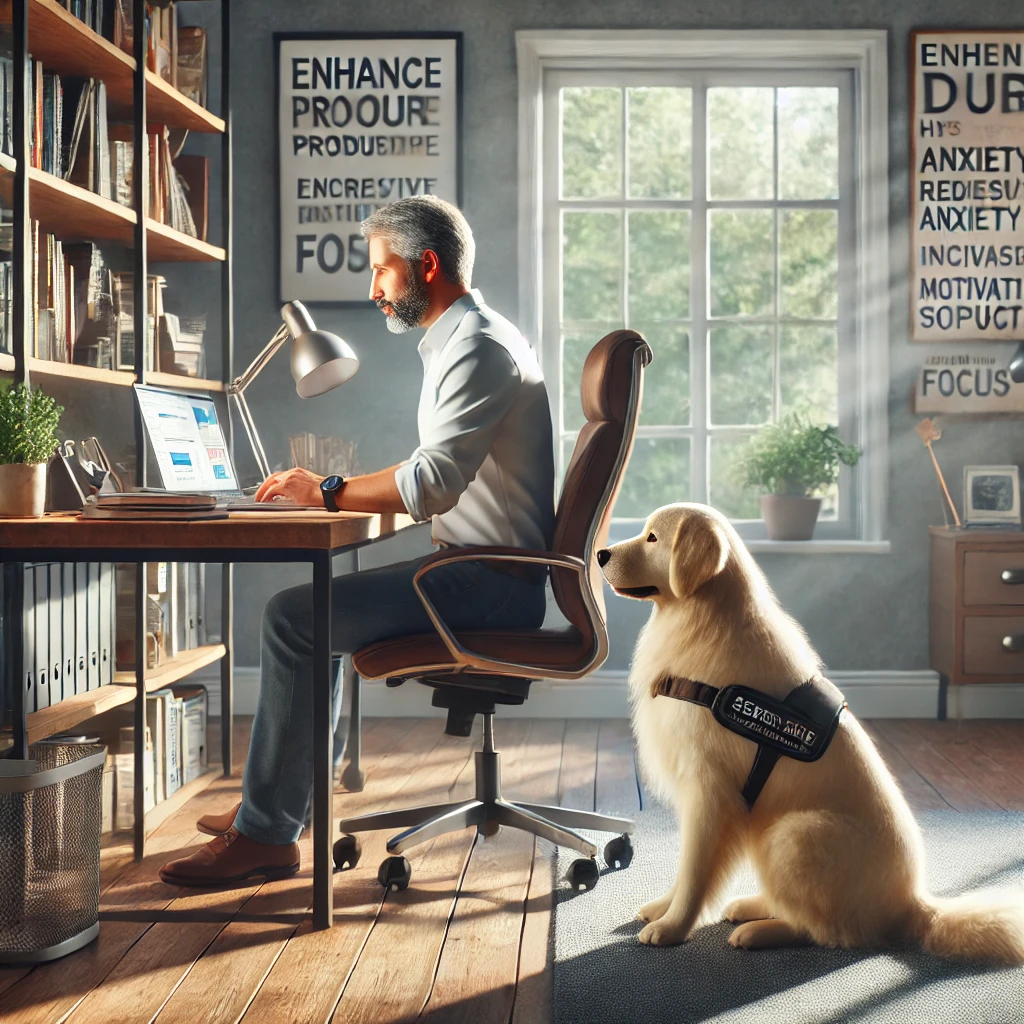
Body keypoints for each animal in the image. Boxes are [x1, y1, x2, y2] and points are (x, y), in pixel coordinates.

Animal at [598, 503, 1024, 958]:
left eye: (653, 538)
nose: (601, 554)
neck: (702, 618)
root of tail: (913, 904)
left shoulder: (710, 793)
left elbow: (695, 872)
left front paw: (672, 927)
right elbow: (684, 871)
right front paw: (662, 909)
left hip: (793, 835)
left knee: (826, 931)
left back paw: (759, 931)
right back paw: (752, 906)